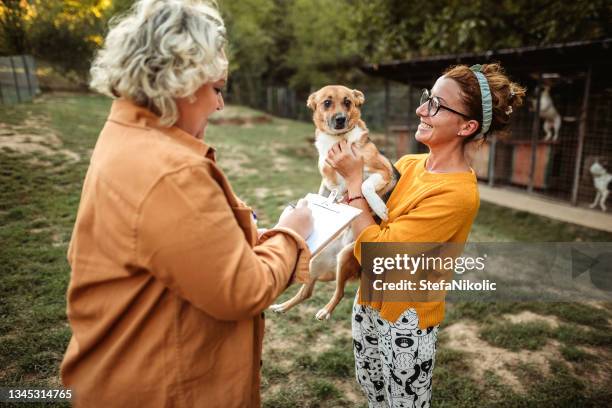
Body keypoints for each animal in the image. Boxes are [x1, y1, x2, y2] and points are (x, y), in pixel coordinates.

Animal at [270, 86, 400, 320]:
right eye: (327, 103)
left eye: (347, 102)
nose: (340, 119)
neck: (338, 140)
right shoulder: (326, 181)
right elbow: (323, 192)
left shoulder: (381, 170)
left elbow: (364, 186)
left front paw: (379, 207)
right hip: (314, 260)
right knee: (306, 291)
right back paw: (282, 306)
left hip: (345, 257)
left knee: (338, 293)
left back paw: (324, 311)